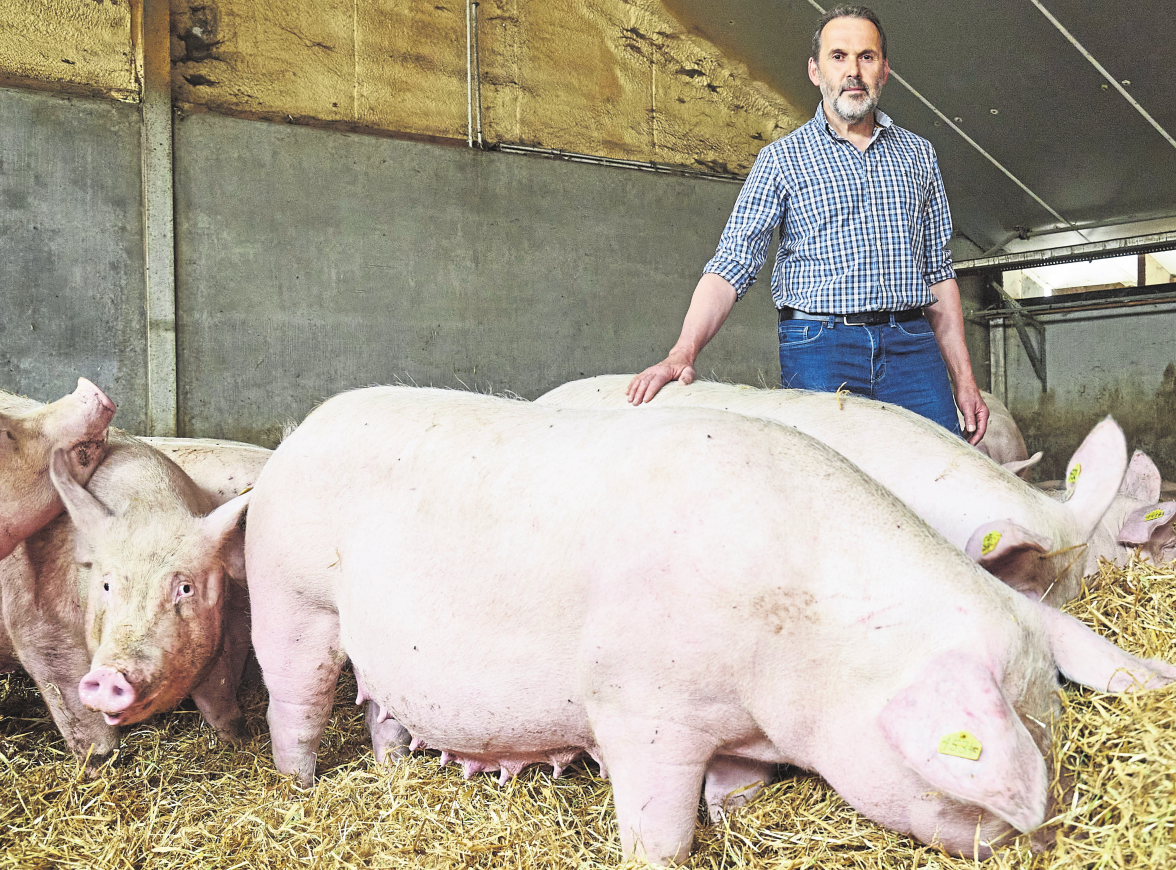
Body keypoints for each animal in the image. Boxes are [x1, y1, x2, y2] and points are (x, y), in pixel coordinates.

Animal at [0, 432, 259, 766]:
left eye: (185, 588)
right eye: (106, 585)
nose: (111, 673)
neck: (147, 505)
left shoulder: (225, 628)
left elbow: (220, 695)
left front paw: (240, 740)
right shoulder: (38, 626)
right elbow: (72, 701)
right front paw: (101, 763)